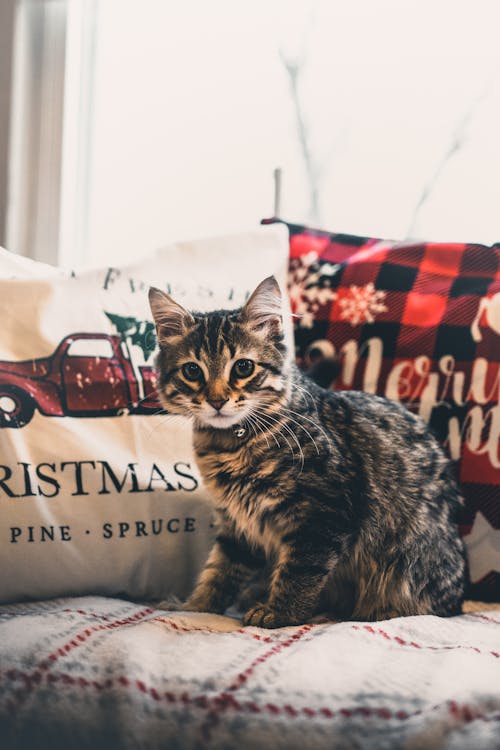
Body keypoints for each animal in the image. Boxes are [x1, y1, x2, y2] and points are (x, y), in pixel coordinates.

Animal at [146, 276, 466, 628]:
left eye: (243, 367)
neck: (231, 444)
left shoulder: (322, 514)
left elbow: (299, 573)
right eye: (192, 371)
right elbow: (219, 572)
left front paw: (279, 612)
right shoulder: (237, 525)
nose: (217, 400)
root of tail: (459, 603)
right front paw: (196, 607)